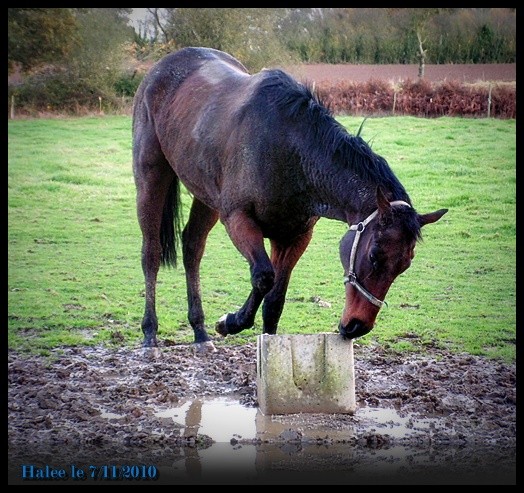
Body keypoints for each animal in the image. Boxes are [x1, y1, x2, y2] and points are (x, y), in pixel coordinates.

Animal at [132, 44, 446, 348]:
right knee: (151, 253)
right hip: (151, 178)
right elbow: (263, 276)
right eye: (375, 255)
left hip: (206, 196)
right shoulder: (237, 218)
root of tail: (162, 68)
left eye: (404, 265)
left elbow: (274, 301)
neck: (288, 150)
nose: (357, 326)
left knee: (192, 247)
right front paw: (230, 322)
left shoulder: (293, 237)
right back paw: (150, 332)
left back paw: (199, 331)